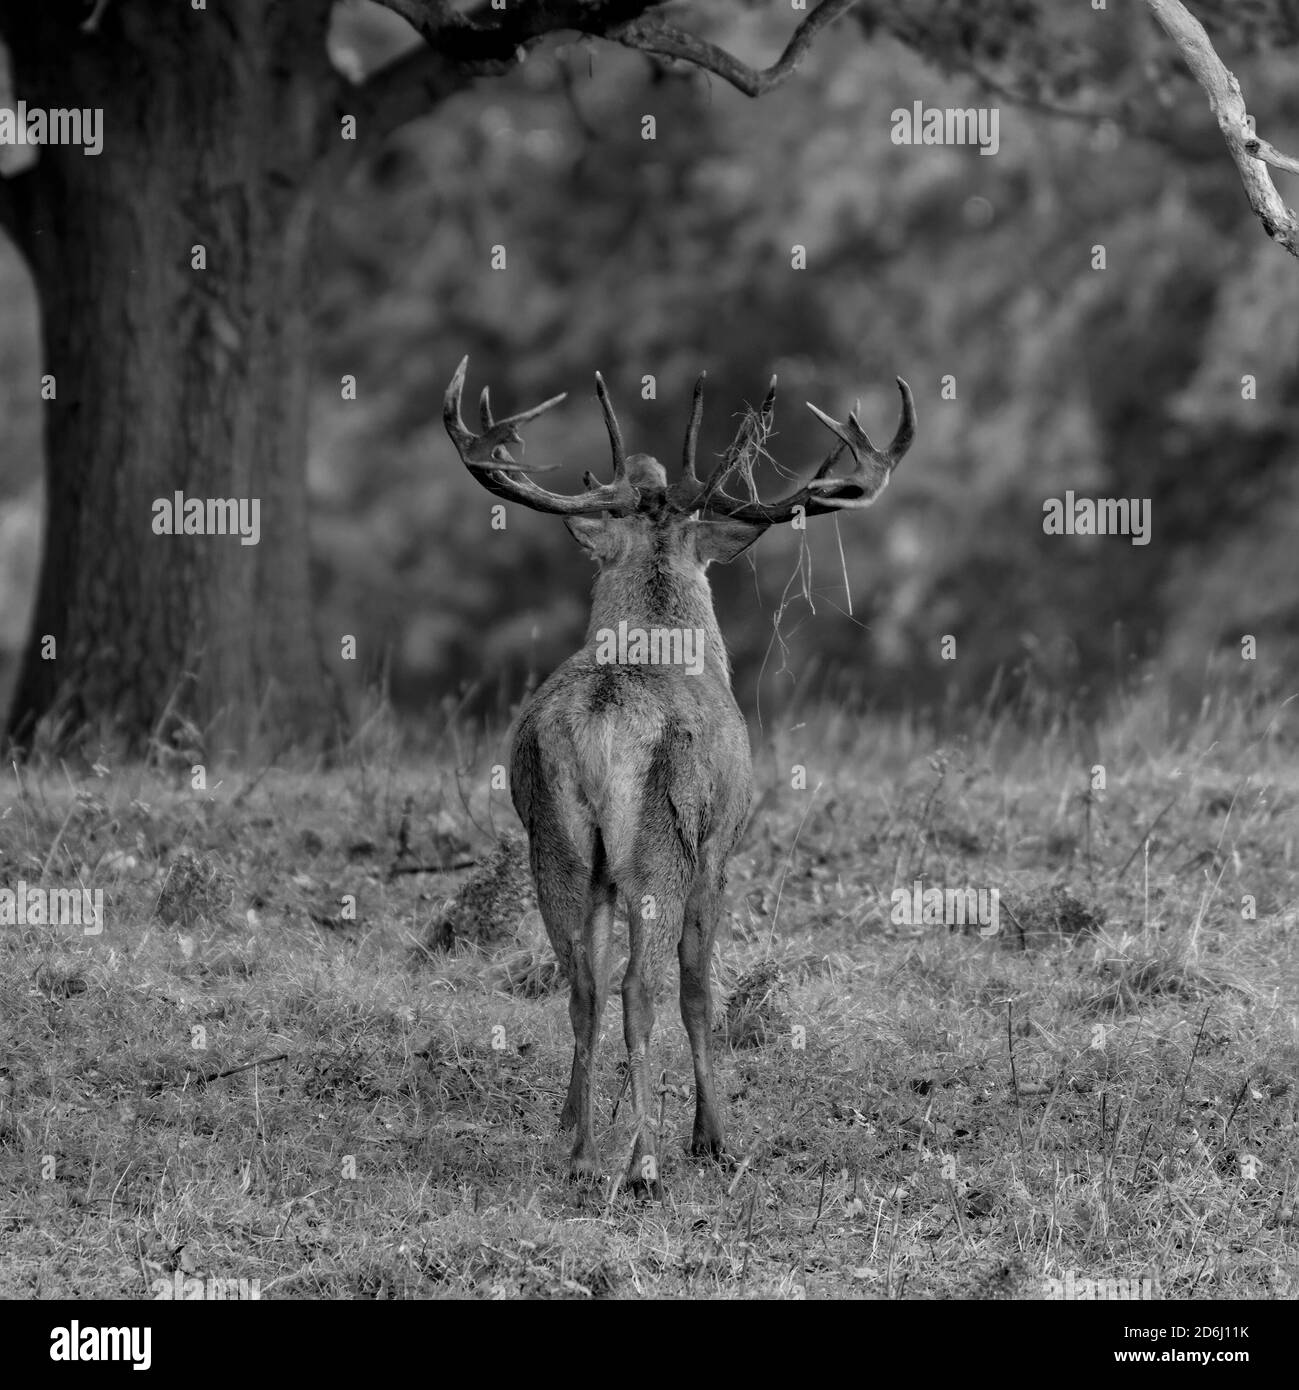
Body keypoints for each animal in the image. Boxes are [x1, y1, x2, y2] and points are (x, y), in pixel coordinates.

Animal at [443, 356, 915, 1193]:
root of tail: (600, 717)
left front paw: (569, 1118)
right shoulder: (719, 849)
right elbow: (699, 991)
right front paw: (712, 1135)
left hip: (556, 844)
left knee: (583, 983)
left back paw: (579, 1154)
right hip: (660, 846)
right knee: (641, 985)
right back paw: (643, 1162)